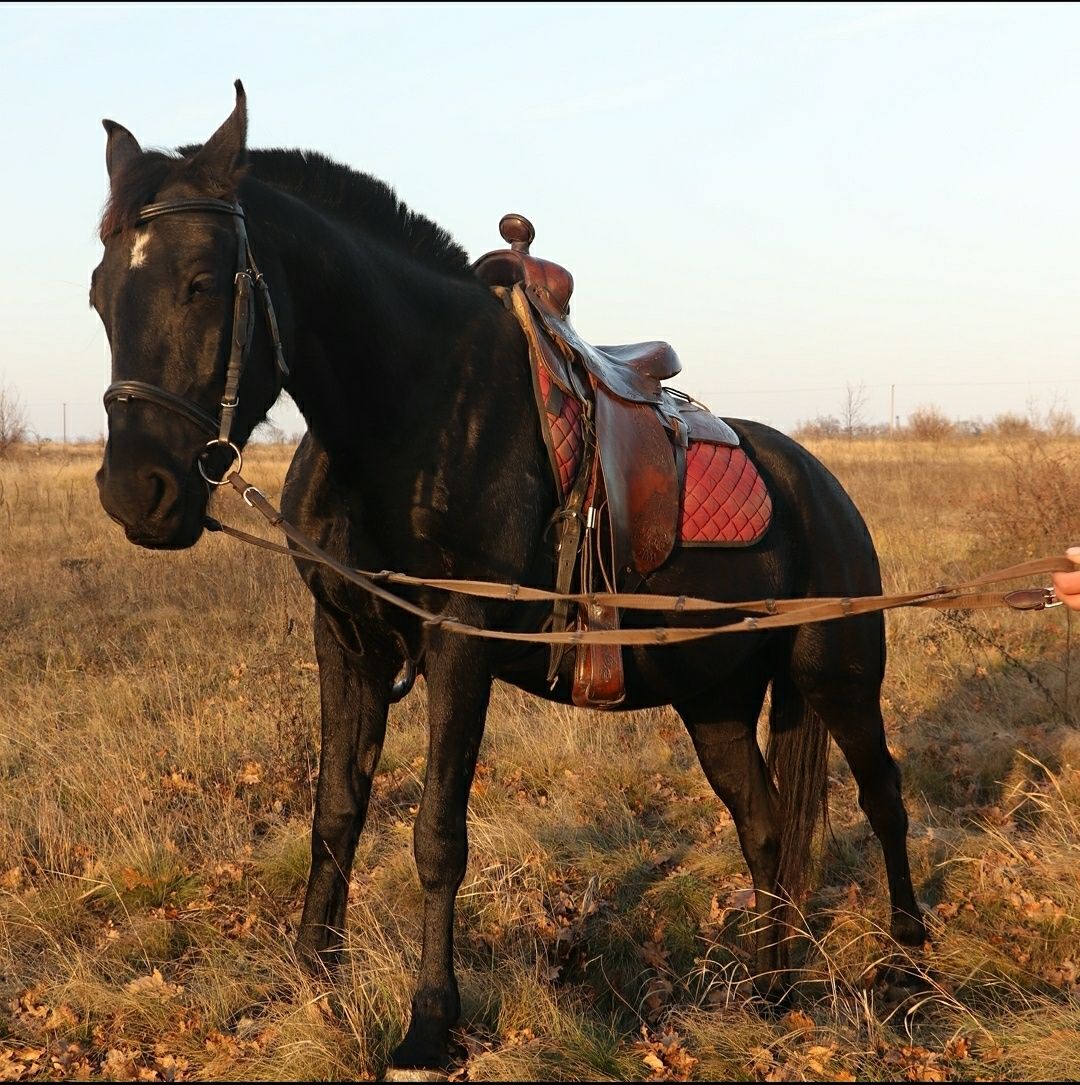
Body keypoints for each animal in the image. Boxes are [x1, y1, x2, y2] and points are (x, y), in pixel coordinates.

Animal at [90, 82, 929, 1067]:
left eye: (200, 283)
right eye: (100, 295)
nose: (135, 490)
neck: (411, 410)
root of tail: (821, 483)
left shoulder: (460, 640)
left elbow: (436, 835)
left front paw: (428, 1024)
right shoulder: (348, 639)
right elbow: (335, 812)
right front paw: (309, 979)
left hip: (840, 680)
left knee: (884, 797)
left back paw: (908, 967)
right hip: (716, 699)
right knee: (766, 828)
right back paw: (771, 991)